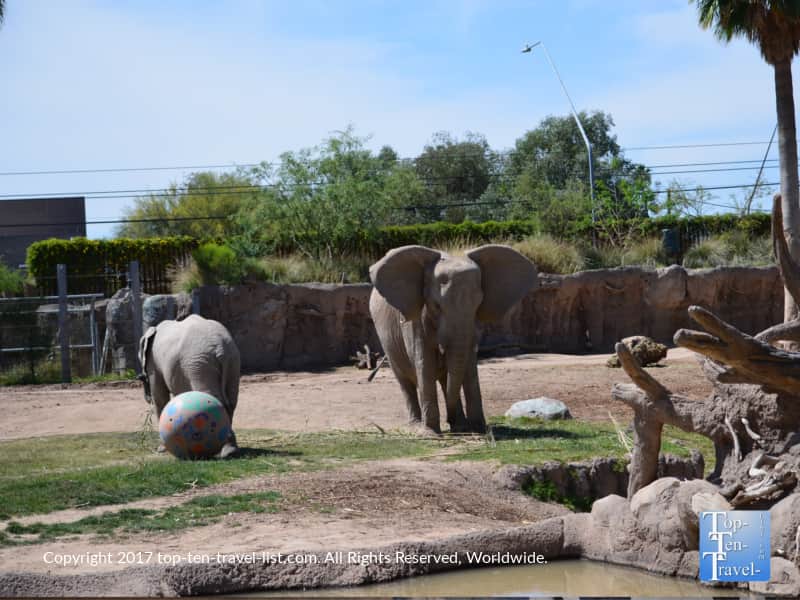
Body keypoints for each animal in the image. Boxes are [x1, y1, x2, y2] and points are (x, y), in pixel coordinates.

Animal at [138, 314, 241, 458]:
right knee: (231, 401)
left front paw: (162, 449)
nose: (146, 398)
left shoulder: (153, 362)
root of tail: (220, 347)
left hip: (199, 363)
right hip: (232, 361)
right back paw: (230, 451)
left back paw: (227, 452)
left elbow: (159, 397)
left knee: (213, 397)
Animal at [369, 244, 537, 435]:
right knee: (405, 381)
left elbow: (468, 364)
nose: (449, 421)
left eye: (478, 305)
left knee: (446, 378)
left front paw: (478, 429)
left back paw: (459, 425)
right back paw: (418, 425)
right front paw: (430, 434)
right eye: (436, 306)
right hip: (386, 339)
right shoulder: (415, 320)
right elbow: (424, 362)